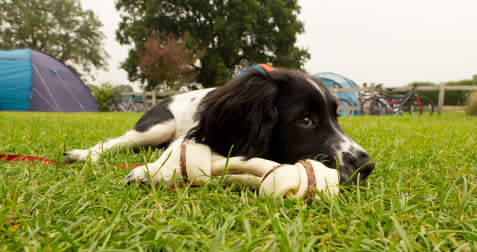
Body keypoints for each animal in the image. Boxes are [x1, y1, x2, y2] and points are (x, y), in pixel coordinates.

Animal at [65, 67, 374, 185]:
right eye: (305, 120)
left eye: (336, 117)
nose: (367, 166)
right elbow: (175, 152)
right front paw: (152, 171)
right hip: (159, 125)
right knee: (116, 141)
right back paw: (85, 154)